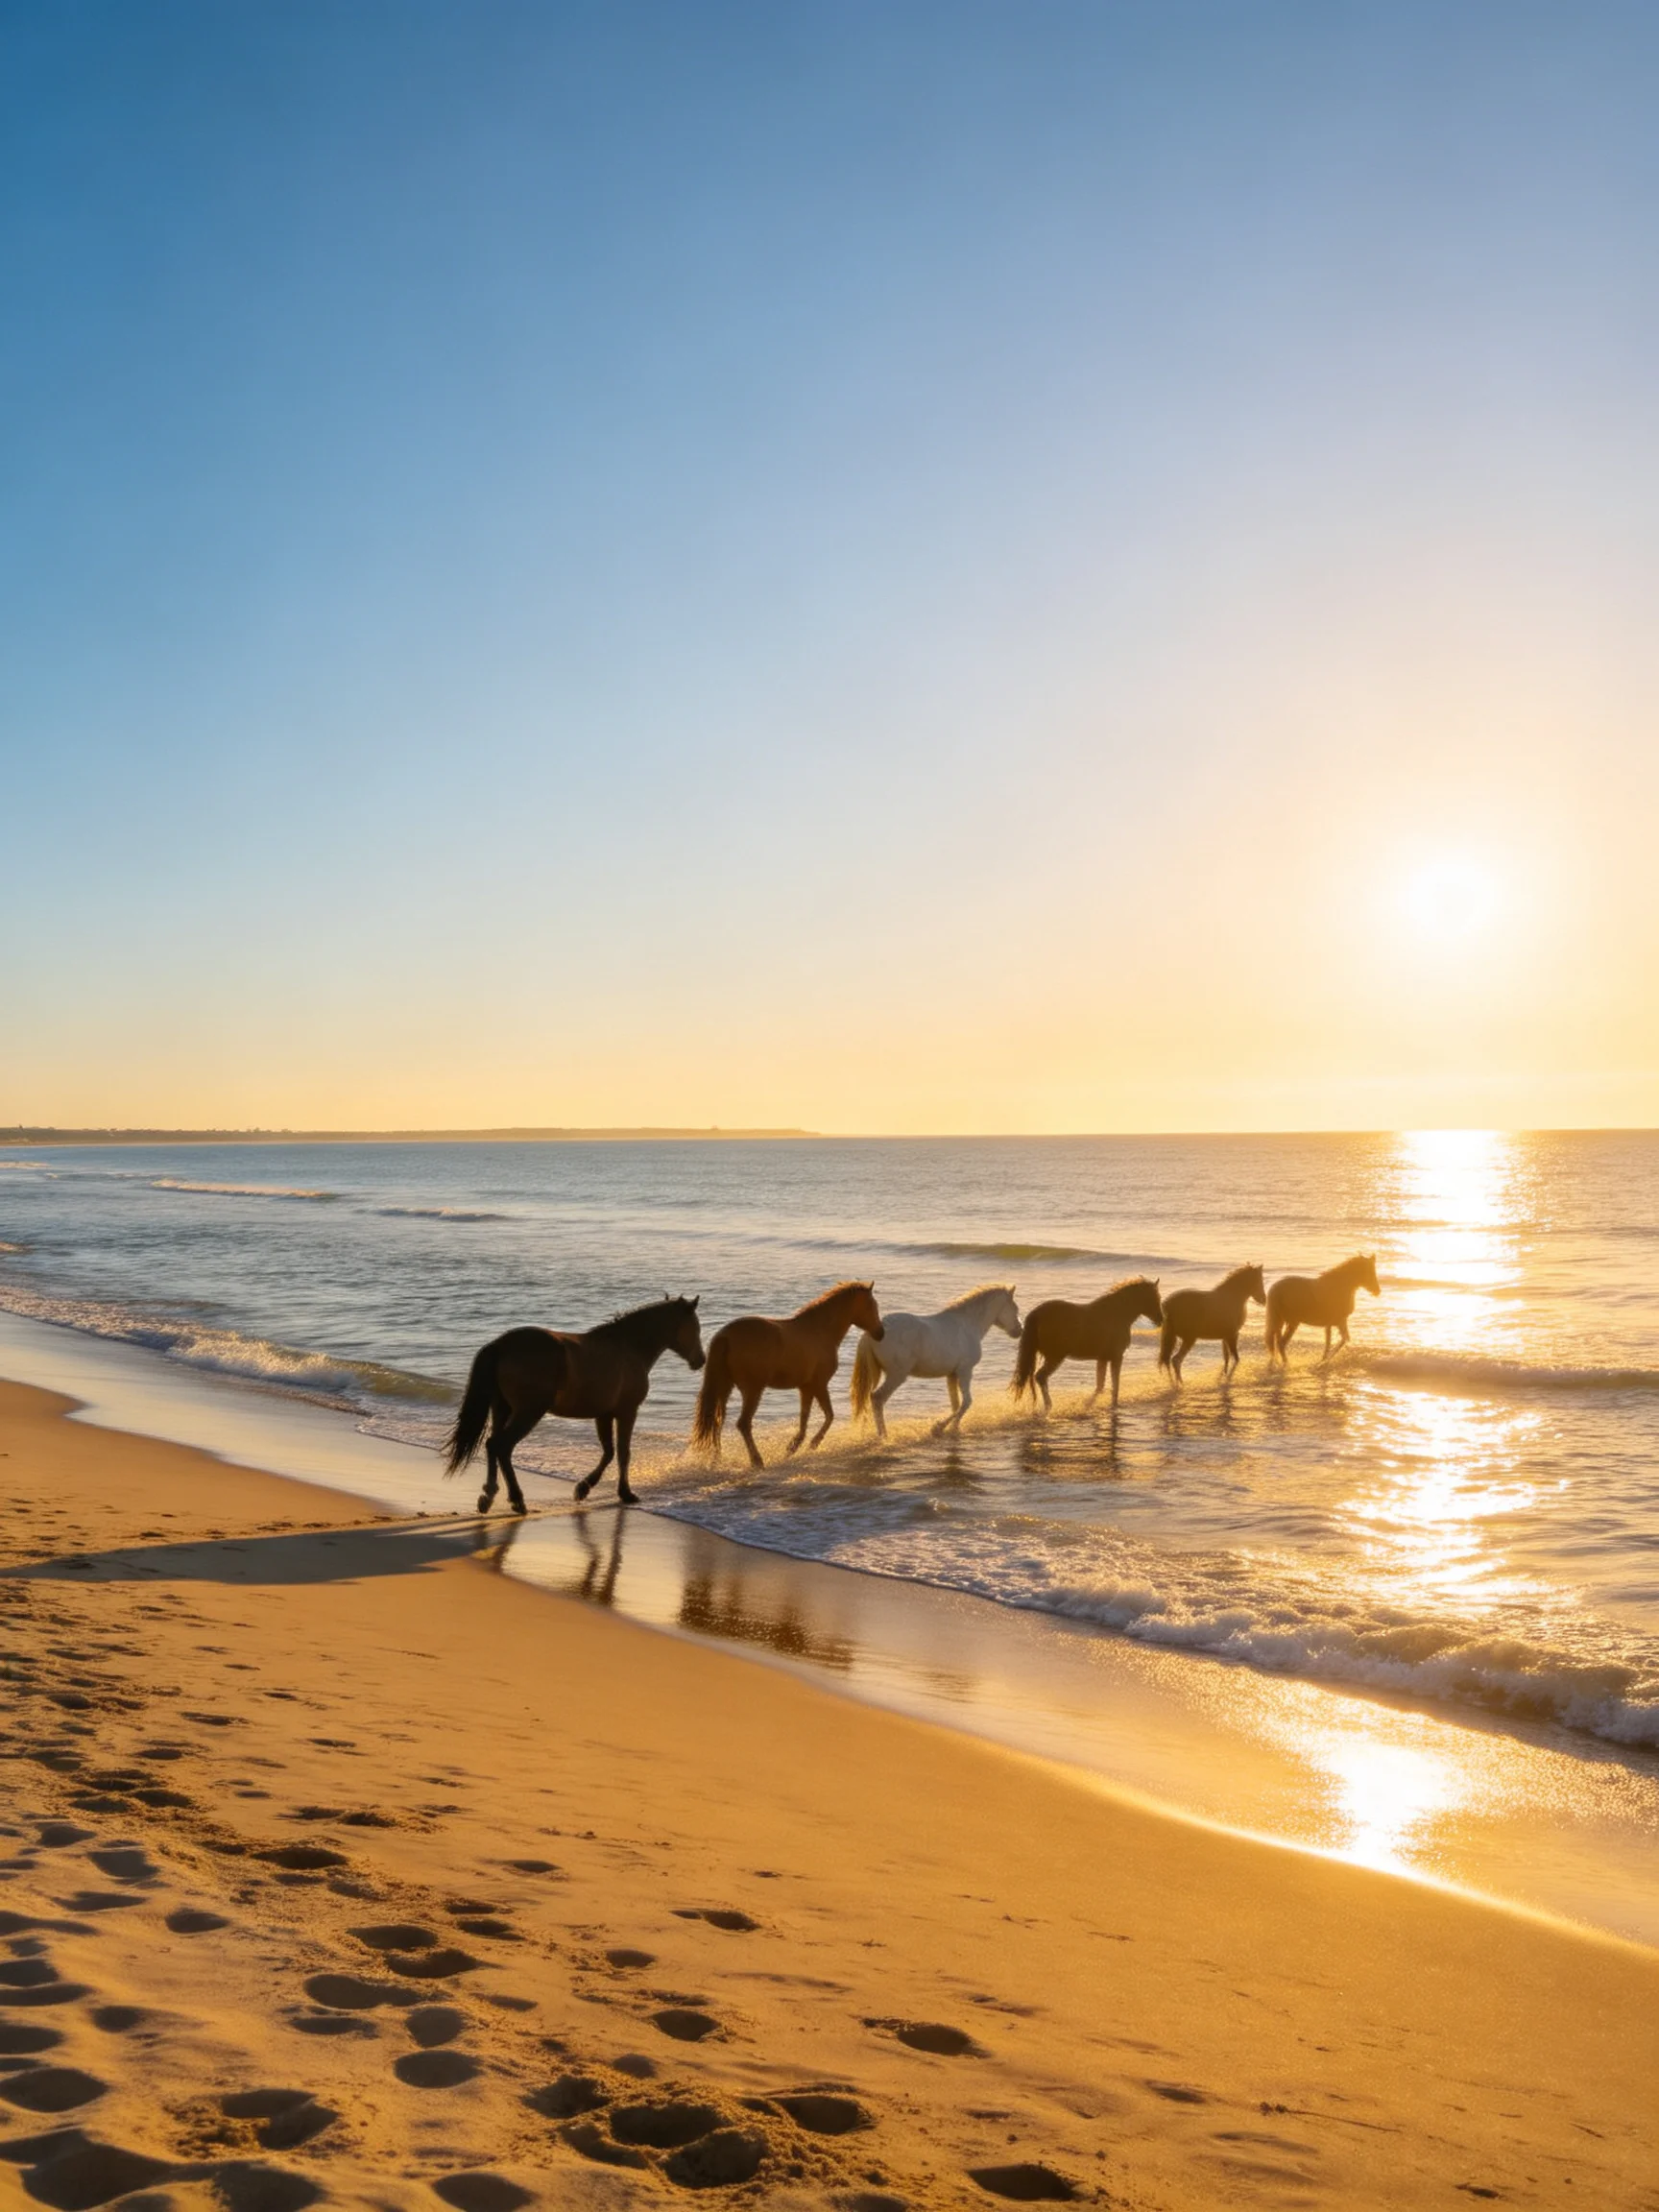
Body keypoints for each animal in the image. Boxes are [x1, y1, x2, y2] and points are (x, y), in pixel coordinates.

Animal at [444, 1295, 706, 1513]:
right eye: (696, 1327)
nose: (701, 1360)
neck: (628, 1347)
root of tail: (500, 1345)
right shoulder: (627, 1412)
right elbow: (623, 1452)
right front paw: (626, 1493)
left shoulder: (604, 1414)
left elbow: (609, 1452)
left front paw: (584, 1487)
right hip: (528, 1412)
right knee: (502, 1446)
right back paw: (517, 1499)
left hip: (502, 1409)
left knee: (492, 1445)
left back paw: (489, 1496)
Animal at [692, 1281, 883, 1468]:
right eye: (871, 1305)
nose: (880, 1333)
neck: (819, 1331)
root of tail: (724, 1337)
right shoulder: (820, 1385)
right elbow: (829, 1415)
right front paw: (812, 1443)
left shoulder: (806, 1388)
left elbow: (804, 1418)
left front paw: (793, 1447)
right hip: (752, 1390)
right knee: (743, 1424)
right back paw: (756, 1461)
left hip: (725, 1387)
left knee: (716, 1420)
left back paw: (716, 1460)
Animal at [849, 1284, 1022, 1439]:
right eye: (1015, 1308)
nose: (1019, 1330)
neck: (968, 1324)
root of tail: (873, 1333)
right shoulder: (965, 1370)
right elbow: (966, 1402)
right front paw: (938, 1428)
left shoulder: (952, 1375)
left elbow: (956, 1404)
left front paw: (953, 1428)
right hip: (896, 1376)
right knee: (877, 1399)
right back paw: (884, 1435)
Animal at [1011, 1278, 1164, 1411]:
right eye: (1153, 1298)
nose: (1161, 1320)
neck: (1115, 1314)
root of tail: (1037, 1315)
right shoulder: (1117, 1357)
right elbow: (1115, 1384)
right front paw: (1114, 1405)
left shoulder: (1103, 1358)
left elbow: (1100, 1385)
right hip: (1055, 1357)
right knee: (1041, 1377)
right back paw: (1049, 1405)